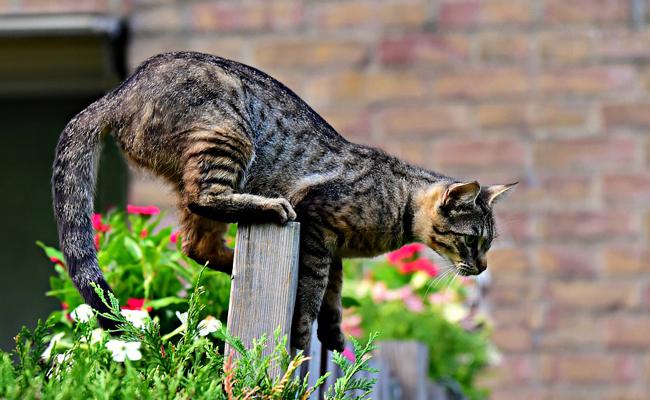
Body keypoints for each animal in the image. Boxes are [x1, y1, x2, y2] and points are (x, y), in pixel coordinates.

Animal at [52, 51, 512, 352]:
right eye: (472, 241)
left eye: (487, 244)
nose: (482, 266)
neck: (398, 202)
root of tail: (119, 91)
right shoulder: (318, 227)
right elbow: (311, 294)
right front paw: (304, 334)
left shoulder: (334, 250)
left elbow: (334, 295)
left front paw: (334, 334)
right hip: (227, 135)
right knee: (206, 200)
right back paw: (269, 209)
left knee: (196, 244)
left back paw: (234, 263)